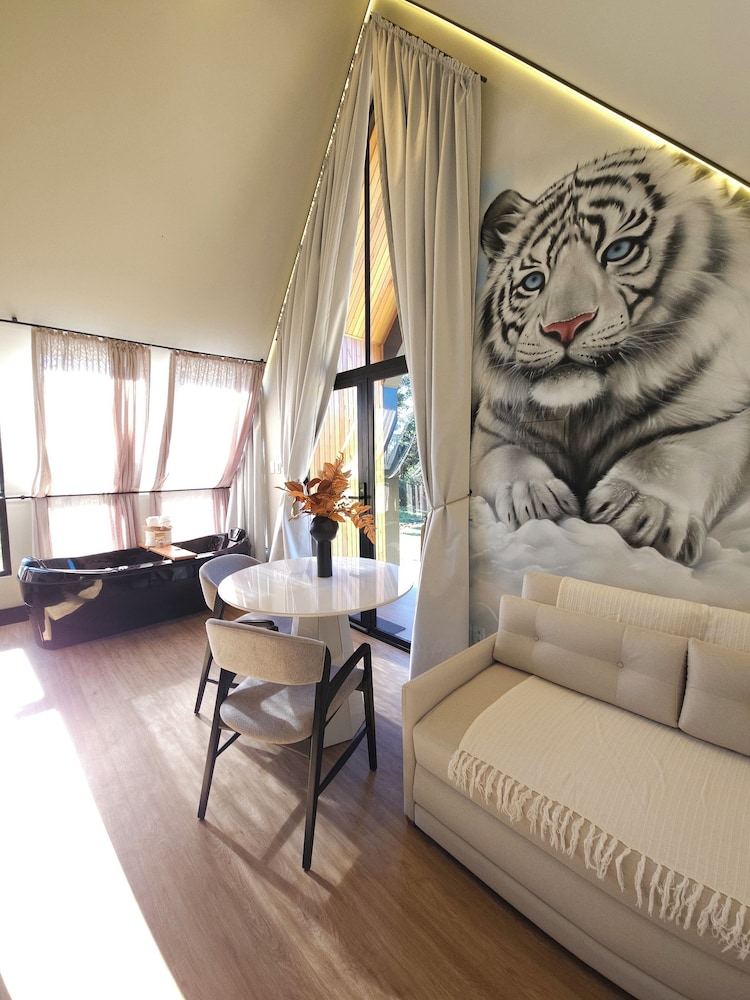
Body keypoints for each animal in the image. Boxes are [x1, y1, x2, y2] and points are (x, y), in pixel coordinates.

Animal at [471, 146, 750, 566]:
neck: (582, 412)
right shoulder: (493, 431)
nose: (565, 327)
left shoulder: (725, 416)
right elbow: (508, 457)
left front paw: (643, 510)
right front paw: (535, 498)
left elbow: (674, 452)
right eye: (533, 281)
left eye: (618, 250)